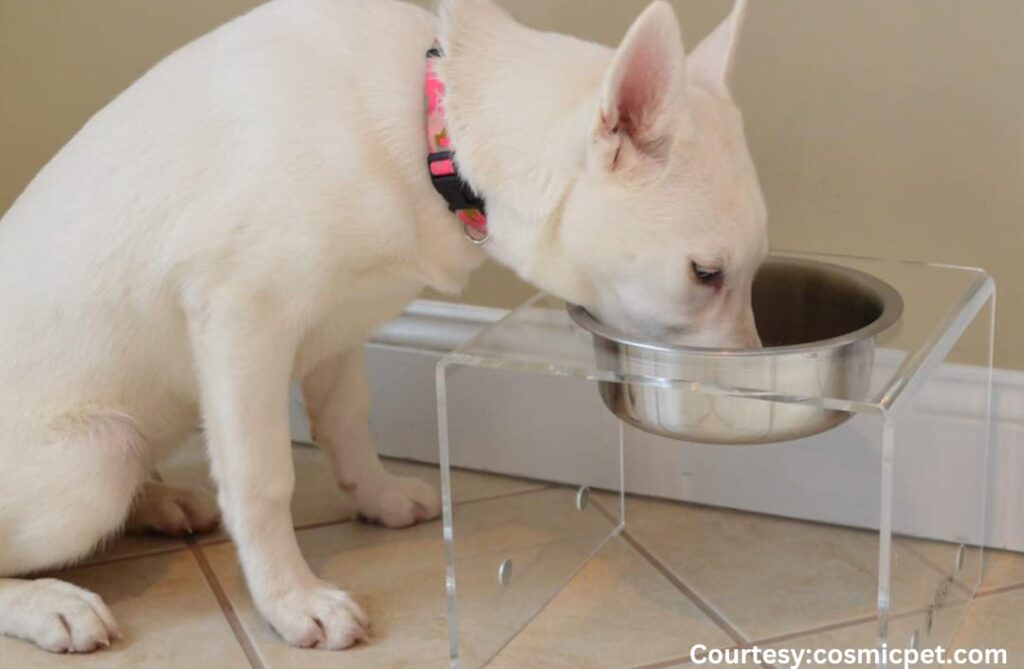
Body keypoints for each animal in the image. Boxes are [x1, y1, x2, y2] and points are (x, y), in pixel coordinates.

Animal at [0, 0, 765, 651]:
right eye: (704, 274)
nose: (750, 397)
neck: (434, 131)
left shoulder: (337, 326)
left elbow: (346, 421)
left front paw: (377, 496)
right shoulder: (243, 321)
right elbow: (263, 478)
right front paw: (291, 599)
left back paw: (161, 500)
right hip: (97, 459)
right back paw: (51, 603)